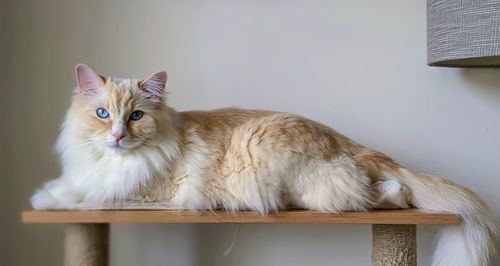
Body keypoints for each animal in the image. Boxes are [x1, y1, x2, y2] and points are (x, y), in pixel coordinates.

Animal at [32, 64, 496, 266]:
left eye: (136, 116)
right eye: (103, 114)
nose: (117, 136)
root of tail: (348, 142)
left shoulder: (140, 195)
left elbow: (80, 196)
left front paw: (42, 198)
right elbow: (72, 185)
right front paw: (48, 191)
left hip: (285, 169)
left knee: (372, 197)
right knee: (384, 192)